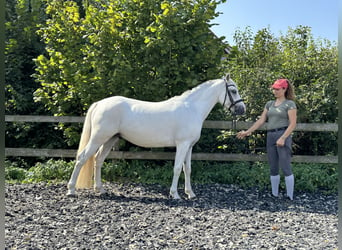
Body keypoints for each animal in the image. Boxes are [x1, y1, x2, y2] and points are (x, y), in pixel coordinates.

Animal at [67, 74, 244, 199]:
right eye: (233, 91)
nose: (242, 109)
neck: (191, 108)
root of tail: (99, 103)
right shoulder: (182, 145)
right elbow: (177, 168)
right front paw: (175, 194)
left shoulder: (189, 146)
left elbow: (187, 169)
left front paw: (190, 193)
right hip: (98, 138)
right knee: (82, 158)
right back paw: (71, 190)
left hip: (110, 139)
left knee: (98, 160)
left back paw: (100, 189)